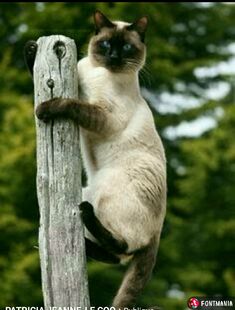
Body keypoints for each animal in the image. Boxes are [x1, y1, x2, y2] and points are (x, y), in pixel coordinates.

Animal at [25, 10, 165, 310]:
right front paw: (31, 50)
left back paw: (87, 215)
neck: (98, 71)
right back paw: (76, 243)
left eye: (126, 48)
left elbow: (69, 104)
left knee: (122, 248)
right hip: (90, 190)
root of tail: (159, 230)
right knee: (115, 256)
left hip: (105, 190)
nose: (113, 56)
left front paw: (44, 109)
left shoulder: (101, 114)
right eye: (106, 44)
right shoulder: (78, 86)